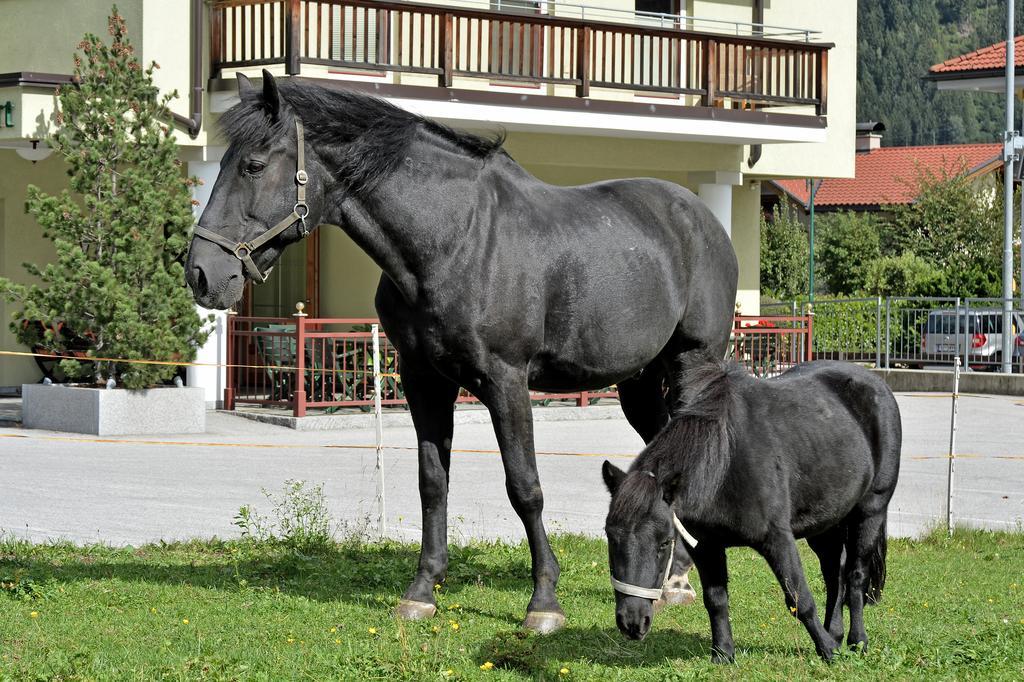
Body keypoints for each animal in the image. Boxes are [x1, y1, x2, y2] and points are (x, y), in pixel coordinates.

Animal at [180, 70, 733, 630]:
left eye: (253, 165)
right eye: (219, 164)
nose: (201, 273)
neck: (453, 241)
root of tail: (702, 217)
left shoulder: (506, 382)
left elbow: (525, 487)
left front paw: (544, 601)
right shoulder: (424, 380)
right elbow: (433, 482)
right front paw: (422, 590)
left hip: (691, 364)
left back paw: (678, 580)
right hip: (637, 381)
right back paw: (672, 577)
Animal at [602, 356, 901, 659]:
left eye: (665, 543)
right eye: (611, 537)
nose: (632, 622)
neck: (725, 462)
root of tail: (876, 383)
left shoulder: (778, 539)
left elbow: (799, 598)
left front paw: (827, 651)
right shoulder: (706, 545)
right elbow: (716, 599)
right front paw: (723, 653)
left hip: (870, 511)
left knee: (855, 575)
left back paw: (856, 640)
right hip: (825, 523)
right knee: (834, 574)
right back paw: (836, 633)